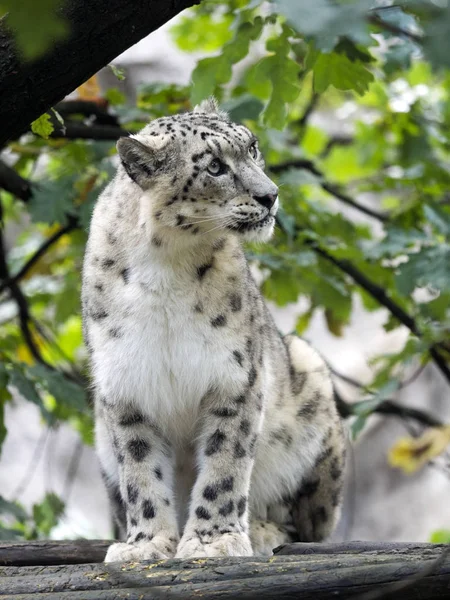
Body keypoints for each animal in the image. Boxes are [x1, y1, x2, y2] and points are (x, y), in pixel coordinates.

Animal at [82, 96, 346, 560]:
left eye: (252, 147)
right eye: (215, 167)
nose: (270, 194)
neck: (165, 266)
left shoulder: (234, 378)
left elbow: (225, 462)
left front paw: (212, 541)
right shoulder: (125, 387)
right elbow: (140, 471)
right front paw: (146, 545)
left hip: (311, 387)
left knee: (307, 525)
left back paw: (261, 530)